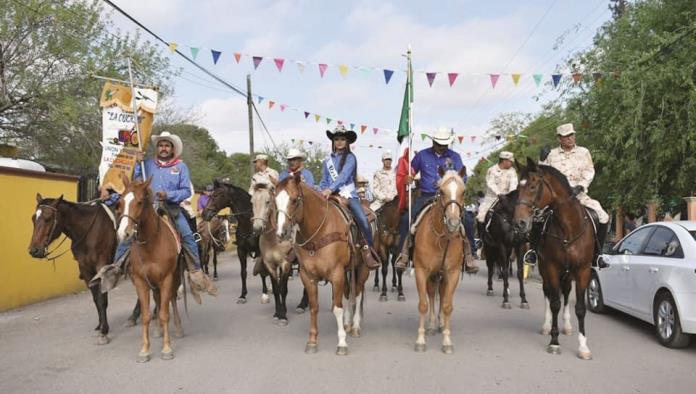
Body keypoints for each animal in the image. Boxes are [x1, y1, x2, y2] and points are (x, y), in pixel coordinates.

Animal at [119, 177, 185, 362]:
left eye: (140, 202)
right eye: (120, 202)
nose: (124, 233)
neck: (151, 244)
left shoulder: (167, 278)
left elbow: (164, 313)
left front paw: (167, 348)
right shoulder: (141, 281)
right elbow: (146, 316)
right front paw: (144, 350)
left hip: (175, 278)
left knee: (171, 299)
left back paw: (178, 328)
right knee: (158, 299)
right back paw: (158, 330)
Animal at [276, 173, 376, 354]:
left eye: (294, 200)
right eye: (274, 200)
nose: (282, 233)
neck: (318, 233)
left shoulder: (336, 274)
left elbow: (336, 308)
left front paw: (342, 342)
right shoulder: (308, 276)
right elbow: (314, 307)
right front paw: (312, 341)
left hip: (363, 268)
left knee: (357, 293)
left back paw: (355, 326)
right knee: (348, 294)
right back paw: (347, 323)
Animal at [414, 168, 468, 356]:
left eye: (463, 192)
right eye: (442, 191)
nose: (453, 223)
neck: (442, 237)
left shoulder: (453, 273)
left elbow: (447, 305)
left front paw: (447, 341)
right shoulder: (421, 271)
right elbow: (423, 304)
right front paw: (420, 340)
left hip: (441, 276)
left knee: (442, 295)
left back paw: (439, 323)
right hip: (432, 275)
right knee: (431, 295)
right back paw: (431, 325)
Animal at [512, 158, 596, 360]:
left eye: (533, 186)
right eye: (518, 188)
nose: (519, 223)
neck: (568, 228)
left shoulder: (582, 270)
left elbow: (580, 307)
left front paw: (583, 346)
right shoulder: (551, 268)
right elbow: (554, 302)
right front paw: (554, 341)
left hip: (568, 273)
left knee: (565, 292)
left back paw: (567, 325)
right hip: (545, 269)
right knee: (548, 293)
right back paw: (546, 325)